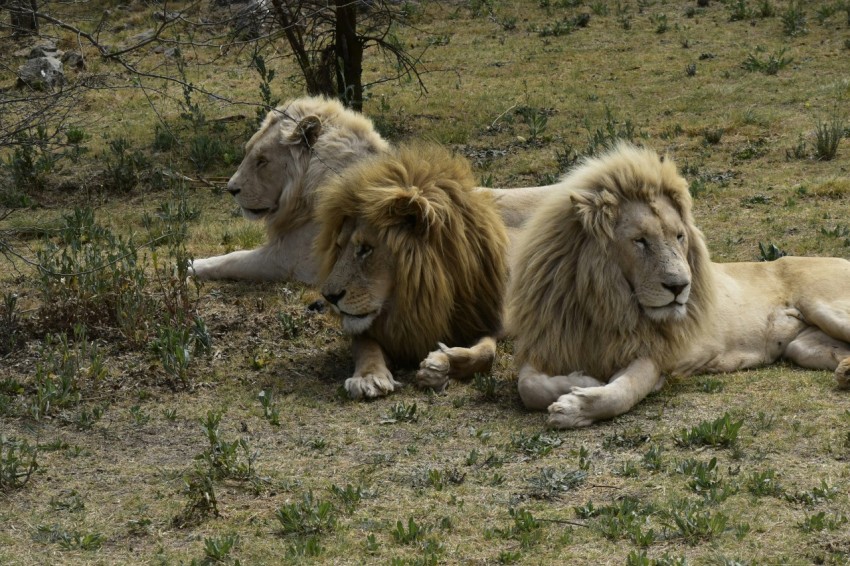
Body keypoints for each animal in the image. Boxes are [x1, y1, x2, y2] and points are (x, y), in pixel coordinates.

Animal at [190, 96, 554, 284]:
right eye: (248, 152)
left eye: (262, 160)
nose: (232, 189)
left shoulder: (293, 259)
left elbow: (233, 260)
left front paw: (191, 266)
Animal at [315, 143, 509, 398]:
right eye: (339, 247)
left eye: (366, 249)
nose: (329, 297)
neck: (415, 302)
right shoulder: (374, 330)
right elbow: (366, 348)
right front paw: (368, 378)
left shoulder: (485, 320)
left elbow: (487, 354)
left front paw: (441, 363)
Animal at [506, 143, 850, 429]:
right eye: (640, 241)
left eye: (679, 236)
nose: (680, 286)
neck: (603, 306)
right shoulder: (549, 343)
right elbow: (528, 387)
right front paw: (583, 378)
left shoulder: (656, 355)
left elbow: (623, 392)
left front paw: (576, 406)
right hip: (803, 347)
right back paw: (846, 372)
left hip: (826, 309)